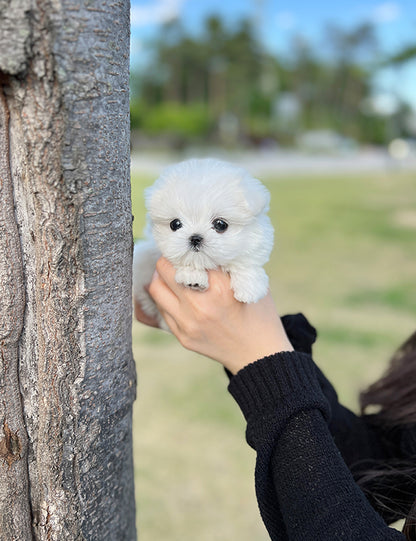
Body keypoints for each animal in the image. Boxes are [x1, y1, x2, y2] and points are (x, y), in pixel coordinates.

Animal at [133, 158, 274, 326]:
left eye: (220, 224)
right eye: (175, 224)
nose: (195, 238)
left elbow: (247, 260)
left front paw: (249, 288)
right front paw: (192, 277)